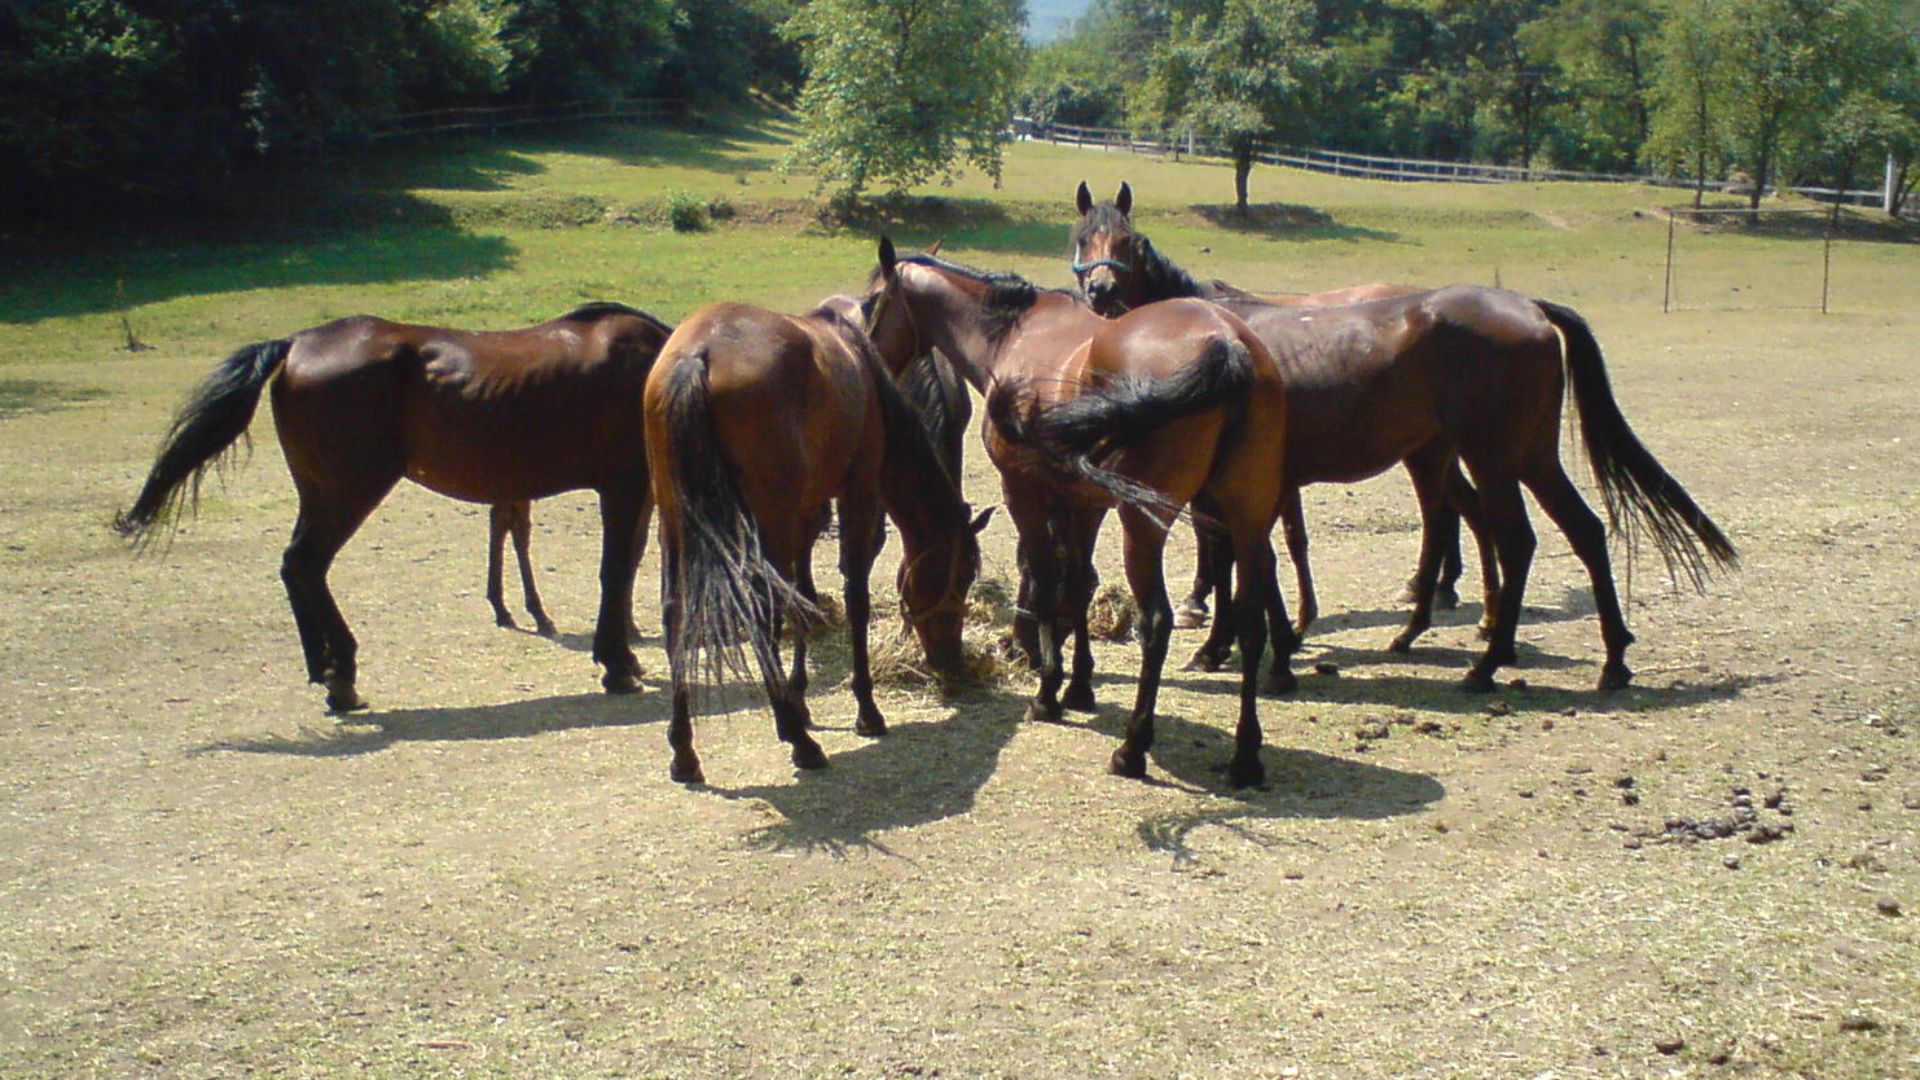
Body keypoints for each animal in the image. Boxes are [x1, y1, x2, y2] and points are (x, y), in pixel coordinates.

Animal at [114, 302, 673, 711]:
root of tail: (297, 344)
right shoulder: (623, 486)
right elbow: (615, 571)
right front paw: (617, 664)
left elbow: (628, 566)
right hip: (351, 491)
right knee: (307, 564)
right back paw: (343, 674)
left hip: (320, 494)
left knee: (297, 568)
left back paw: (328, 673)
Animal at [643, 266, 989, 785]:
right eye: (962, 575)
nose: (950, 658)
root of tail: (698, 355)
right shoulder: (857, 493)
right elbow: (854, 595)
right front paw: (864, 709)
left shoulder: (806, 510)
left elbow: (803, 595)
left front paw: (802, 698)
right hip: (766, 519)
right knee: (761, 610)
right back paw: (798, 741)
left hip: (676, 522)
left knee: (677, 614)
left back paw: (685, 750)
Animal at [865, 239, 1291, 787]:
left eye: (871, 302)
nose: (866, 352)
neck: (1014, 334)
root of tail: (1228, 344)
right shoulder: (1083, 502)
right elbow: (1078, 586)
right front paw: (1080, 687)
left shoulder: (1026, 493)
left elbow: (1048, 587)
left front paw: (1049, 694)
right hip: (1248, 520)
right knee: (1252, 623)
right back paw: (1245, 756)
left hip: (1144, 524)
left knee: (1156, 622)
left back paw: (1133, 747)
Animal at [1071, 180, 1493, 652]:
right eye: (1082, 237)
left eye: (1126, 240)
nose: (1101, 289)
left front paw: (1201, 605)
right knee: (1459, 509)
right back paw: (1440, 589)